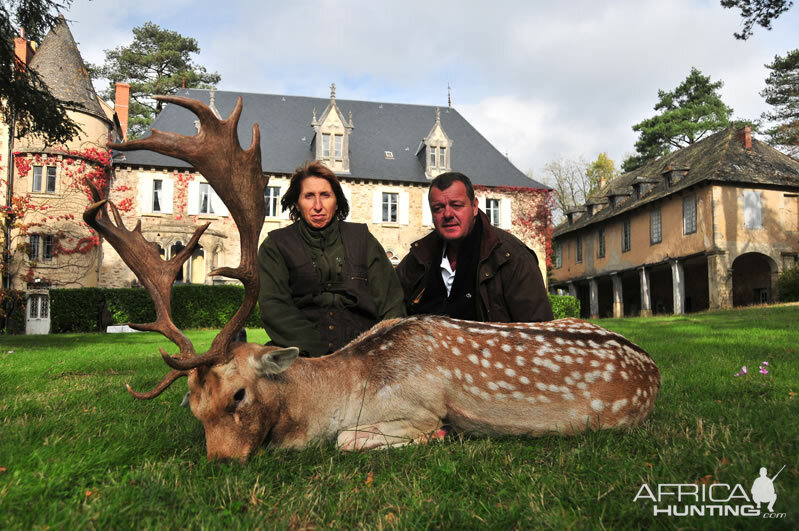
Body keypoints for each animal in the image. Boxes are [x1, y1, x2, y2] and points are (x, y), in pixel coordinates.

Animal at [89, 95, 664, 462]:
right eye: (193, 407)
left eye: (238, 396)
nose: (221, 462)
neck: (347, 388)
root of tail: (653, 369)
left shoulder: (418, 408)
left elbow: (349, 441)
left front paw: (443, 438)